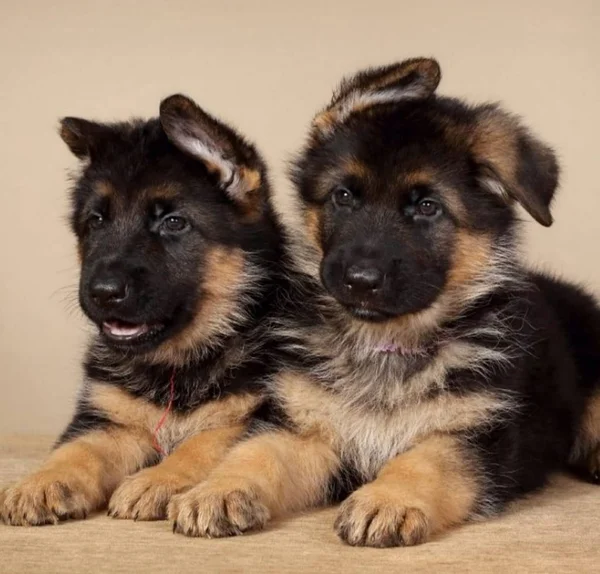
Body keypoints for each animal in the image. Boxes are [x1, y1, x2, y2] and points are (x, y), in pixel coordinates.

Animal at [0, 97, 282, 528]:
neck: (175, 368)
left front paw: (156, 480)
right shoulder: (110, 421)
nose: (103, 293)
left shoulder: (248, 417)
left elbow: (201, 444)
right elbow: (77, 450)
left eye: (173, 222)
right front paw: (41, 481)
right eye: (96, 221)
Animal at [168, 58, 600, 548]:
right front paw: (217, 490)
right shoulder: (307, 430)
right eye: (343, 196)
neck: (385, 344)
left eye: (428, 207)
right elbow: (256, 453)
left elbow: (426, 459)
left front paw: (388, 499)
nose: (359, 281)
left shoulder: (475, 436)